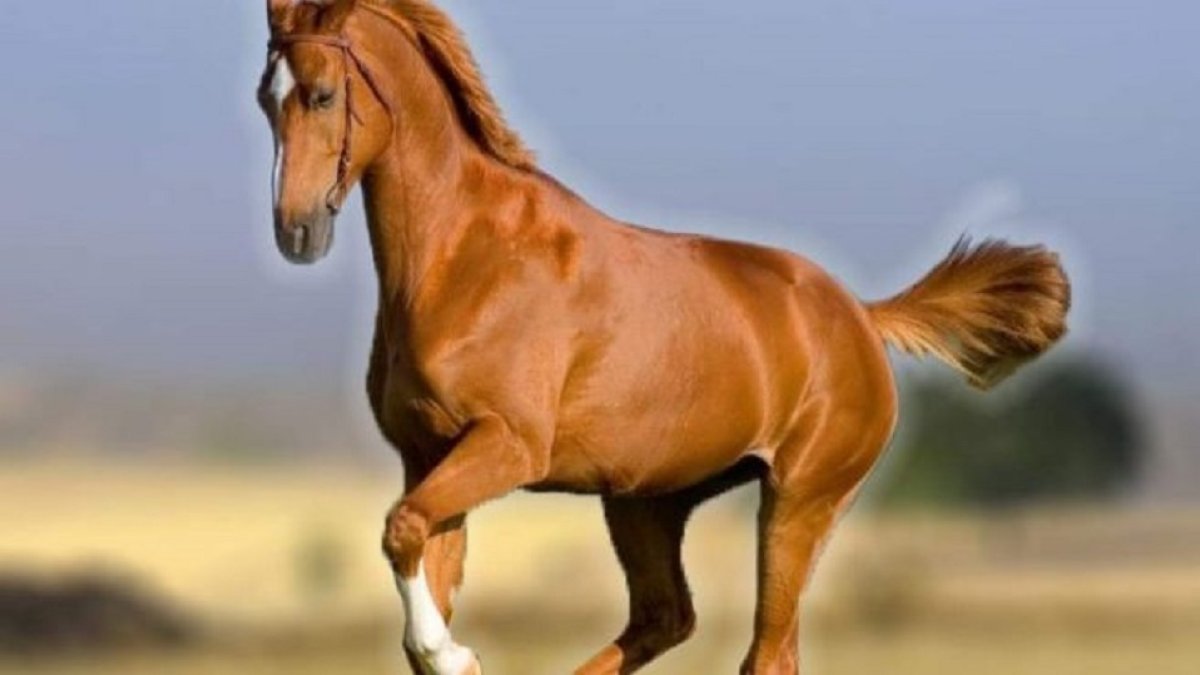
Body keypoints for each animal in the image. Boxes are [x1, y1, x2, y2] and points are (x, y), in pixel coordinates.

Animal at [257, 2, 1070, 673]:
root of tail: (862, 317)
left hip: (798, 503)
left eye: (322, 94)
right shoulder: (430, 456)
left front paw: (451, 652)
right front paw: (447, 650)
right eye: (266, 98)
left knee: (766, 652)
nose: (296, 231)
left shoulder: (506, 447)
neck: (466, 259)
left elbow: (401, 532)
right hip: (646, 504)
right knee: (667, 618)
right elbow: (421, 557)